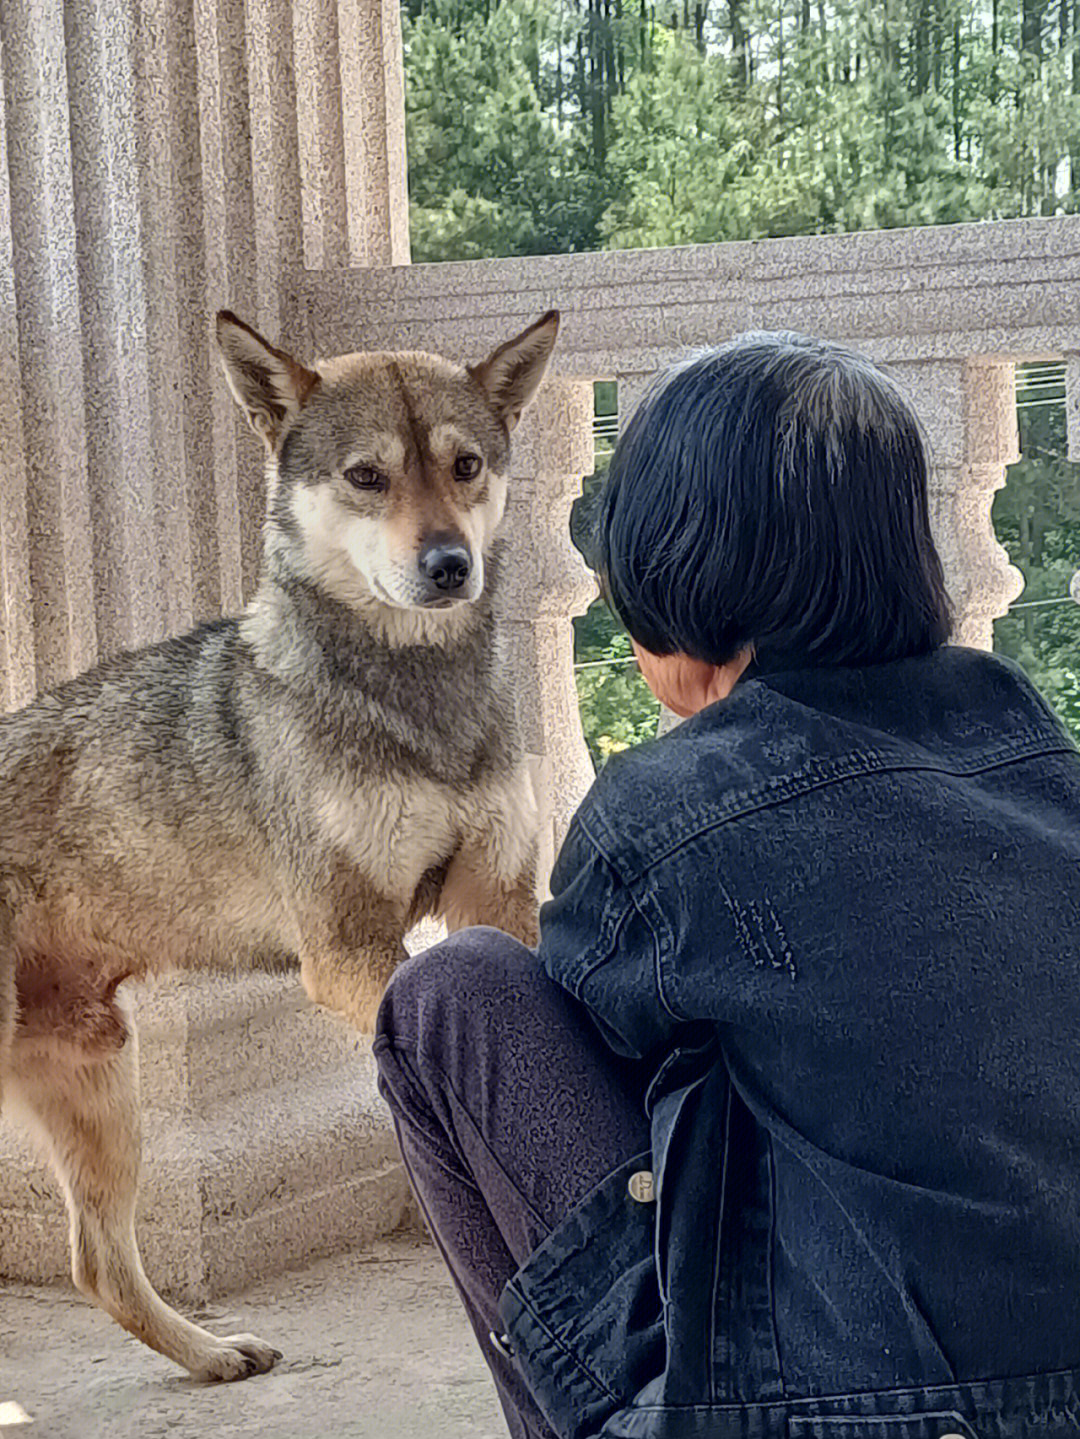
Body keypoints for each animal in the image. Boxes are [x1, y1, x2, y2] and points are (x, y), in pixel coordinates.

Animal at [0, 312, 557, 1381]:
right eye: (368, 476)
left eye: (465, 465)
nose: (449, 565)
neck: (415, 702)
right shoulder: (347, 949)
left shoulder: (495, 904)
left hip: (103, 1086)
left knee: (99, 1265)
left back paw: (211, 1354)